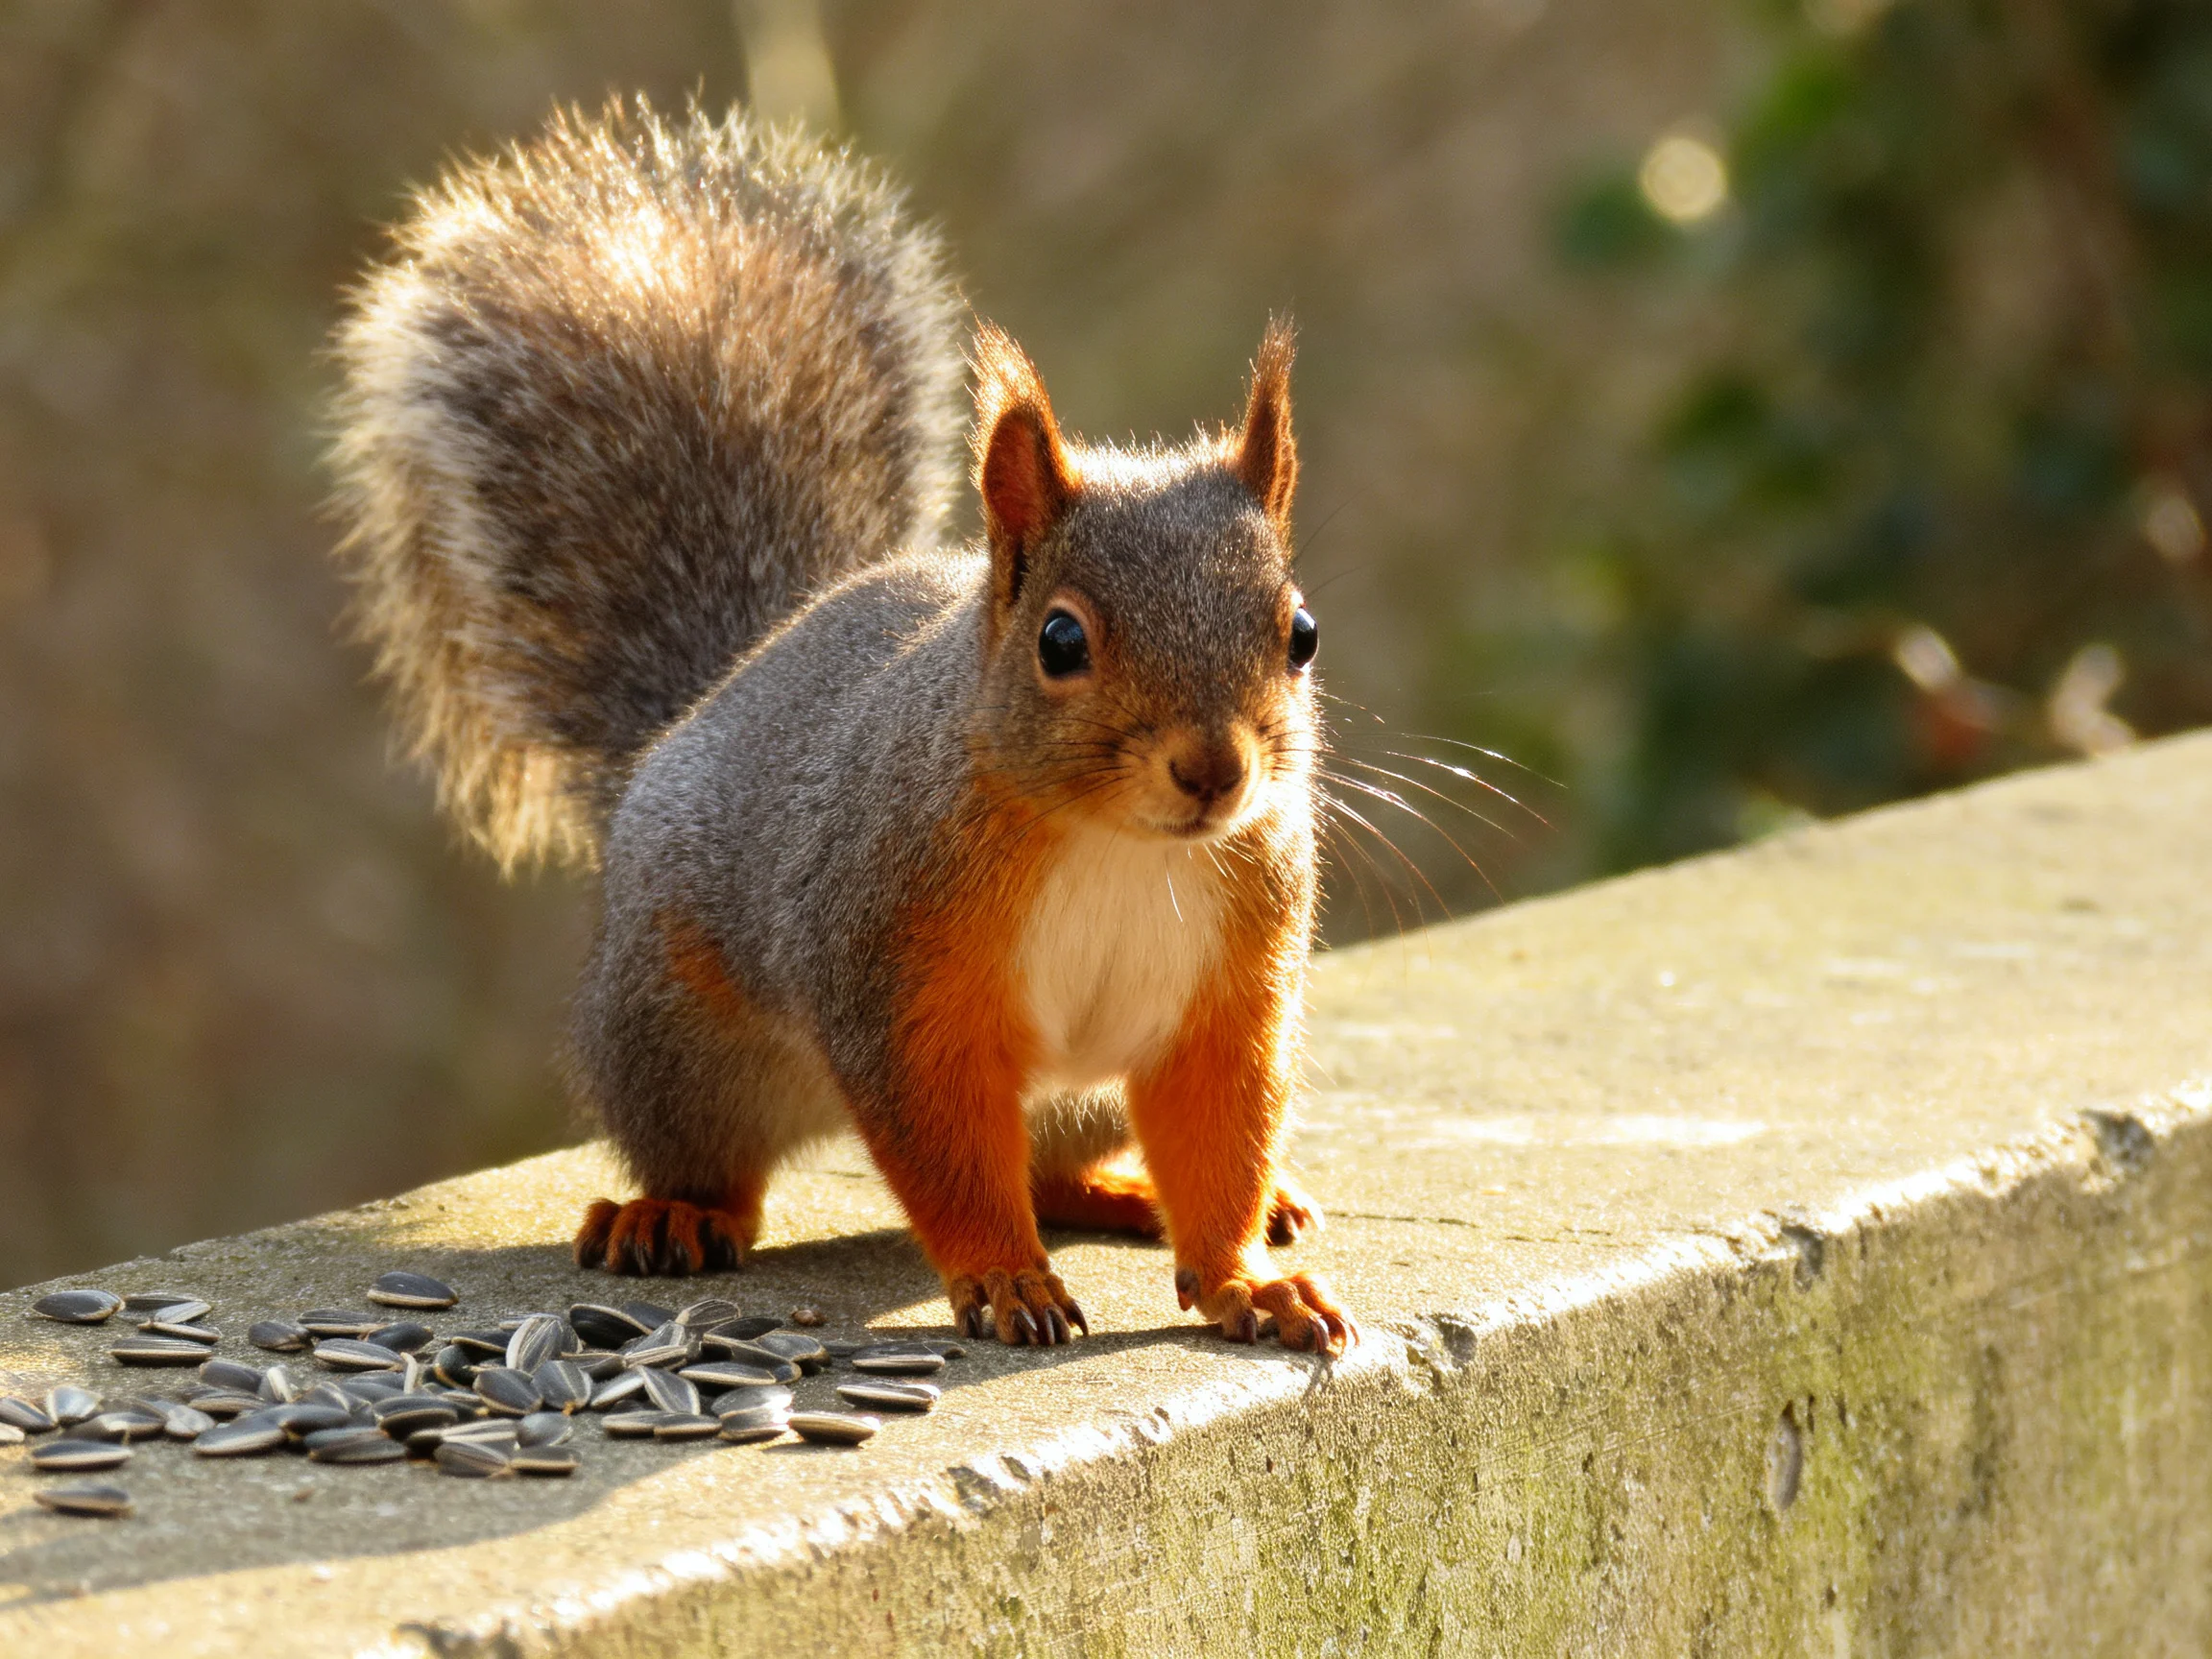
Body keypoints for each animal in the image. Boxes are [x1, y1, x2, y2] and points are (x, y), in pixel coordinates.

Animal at [328, 101, 1353, 1355]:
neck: (1119, 843)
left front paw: (1246, 1280)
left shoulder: (1228, 995)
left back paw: (1146, 1192)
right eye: (1061, 640)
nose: (1212, 771)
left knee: (1057, 1166)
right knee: (719, 1163)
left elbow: (1219, 1136)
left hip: (1075, 1100)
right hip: (678, 1040)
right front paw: (1004, 1277)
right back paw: (672, 1214)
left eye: (1300, 633)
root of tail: (712, 696)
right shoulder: (893, 973)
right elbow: (944, 1145)